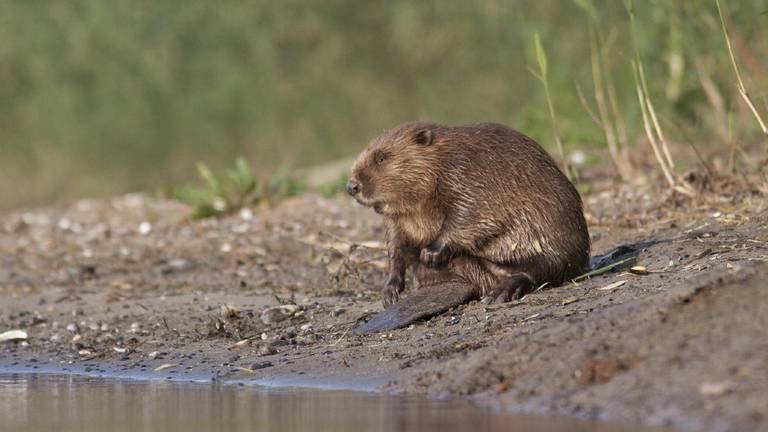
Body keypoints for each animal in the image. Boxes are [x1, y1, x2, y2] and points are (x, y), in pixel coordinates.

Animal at [348, 121, 592, 334]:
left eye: (381, 157)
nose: (351, 186)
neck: (441, 159)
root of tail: (464, 283)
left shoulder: (467, 173)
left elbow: (468, 214)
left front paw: (431, 253)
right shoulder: (396, 219)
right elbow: (396, 246)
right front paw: (389, 292)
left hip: (556, 253)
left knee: (537, 269)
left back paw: (499, 291)